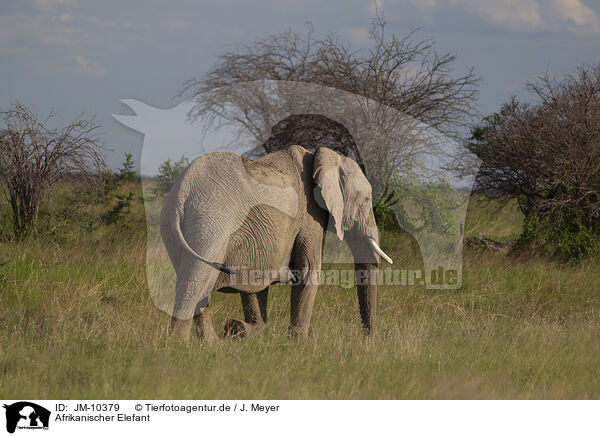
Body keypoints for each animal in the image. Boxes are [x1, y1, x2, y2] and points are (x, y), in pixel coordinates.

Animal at [161, 145, 394, 338]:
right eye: (365, 200)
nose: (367, 339)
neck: (323, 157)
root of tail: (182, 191)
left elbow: (254, 281)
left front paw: (251, 330)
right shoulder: (309, 213)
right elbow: (309, 270)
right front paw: (297, 345)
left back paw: (214, 343)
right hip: (211, 223)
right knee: (195, 284)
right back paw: (181, 346)